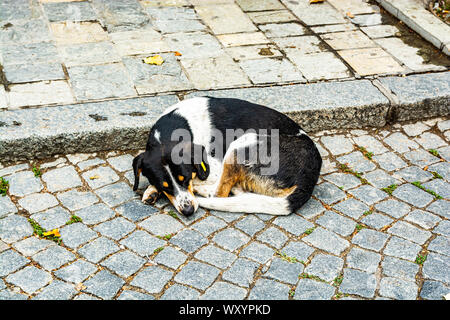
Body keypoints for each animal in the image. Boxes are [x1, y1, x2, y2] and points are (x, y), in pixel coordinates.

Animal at [132, 97, 322, 218]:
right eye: (164, 185)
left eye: (185, 179)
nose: (188, 211)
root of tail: (308, 179)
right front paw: (152, 190)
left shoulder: (212, 168)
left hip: (242, 142)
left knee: (220, 193)